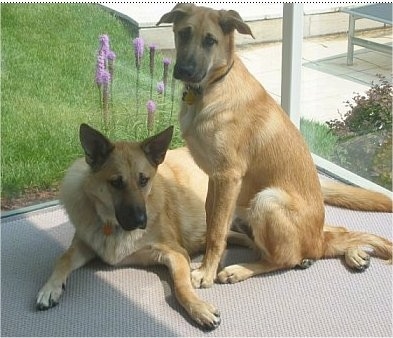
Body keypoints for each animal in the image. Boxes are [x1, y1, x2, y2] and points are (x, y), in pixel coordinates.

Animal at [36, 123, 251, 328]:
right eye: (116, 183)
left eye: (144, 180)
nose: (141, 221)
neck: (112, 225)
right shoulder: (84, 245)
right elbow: (63, 258)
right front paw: (50, 288)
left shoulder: (175, 253)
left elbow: (181, 287)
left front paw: (198, 307)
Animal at [157, 3, 392, 288]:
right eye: (183, 33)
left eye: (210, 40)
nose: (185, 70)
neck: (213, 87)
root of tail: (317, 242)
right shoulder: (216, 177)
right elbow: (211, 219)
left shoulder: (228, 176)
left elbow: (216, 231)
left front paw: (206, 271)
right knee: (331, 235)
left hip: (267, 200)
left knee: (283, 259)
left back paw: (240, 269)